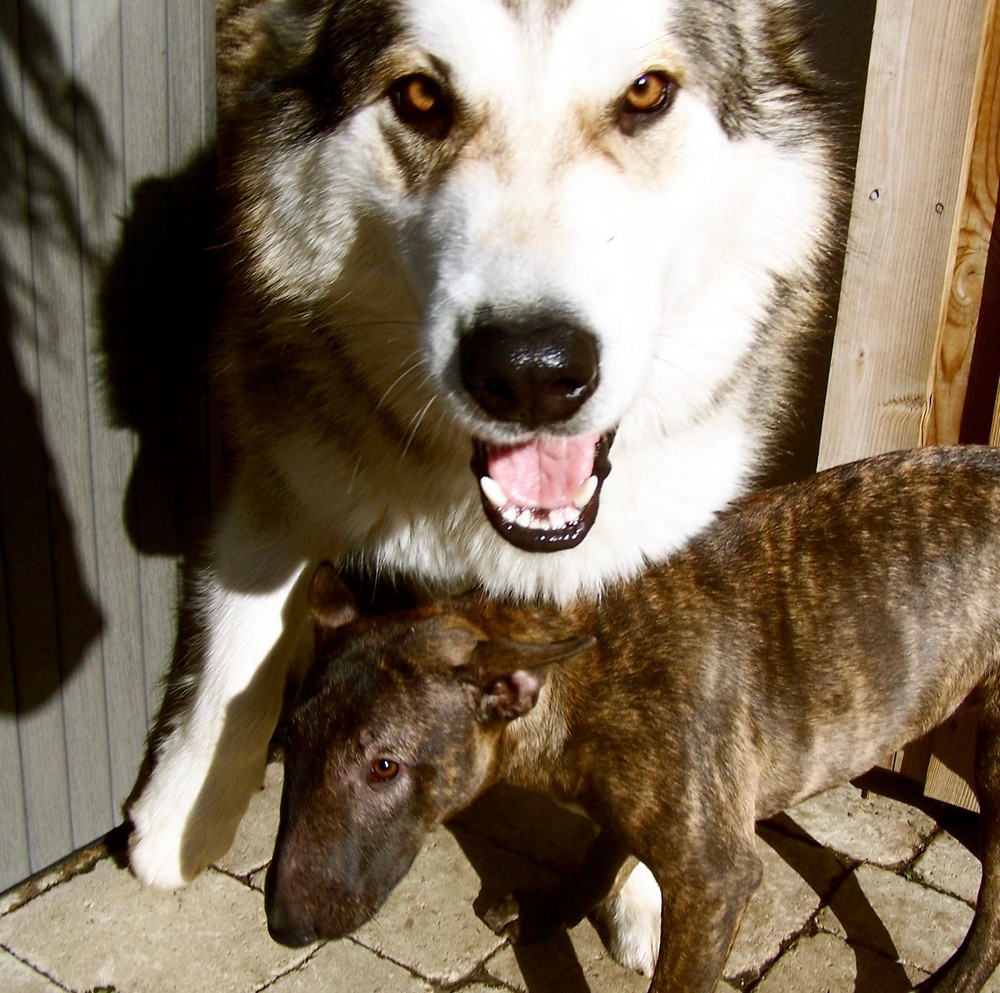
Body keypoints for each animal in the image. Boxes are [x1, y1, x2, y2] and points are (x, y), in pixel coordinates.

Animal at [127, 0, 844, 976]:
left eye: (645, 92)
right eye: (421, 97)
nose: (531, 371)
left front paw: (644, 893)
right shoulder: (284, 444)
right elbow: (243, 637)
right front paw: (184, 812)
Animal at [270, 450, 1000, 992]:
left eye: (384, 767)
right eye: (288, 744)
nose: (282, 926)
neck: (574, 676)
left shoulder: (714, 879)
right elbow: (603, 851)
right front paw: (551, 909)